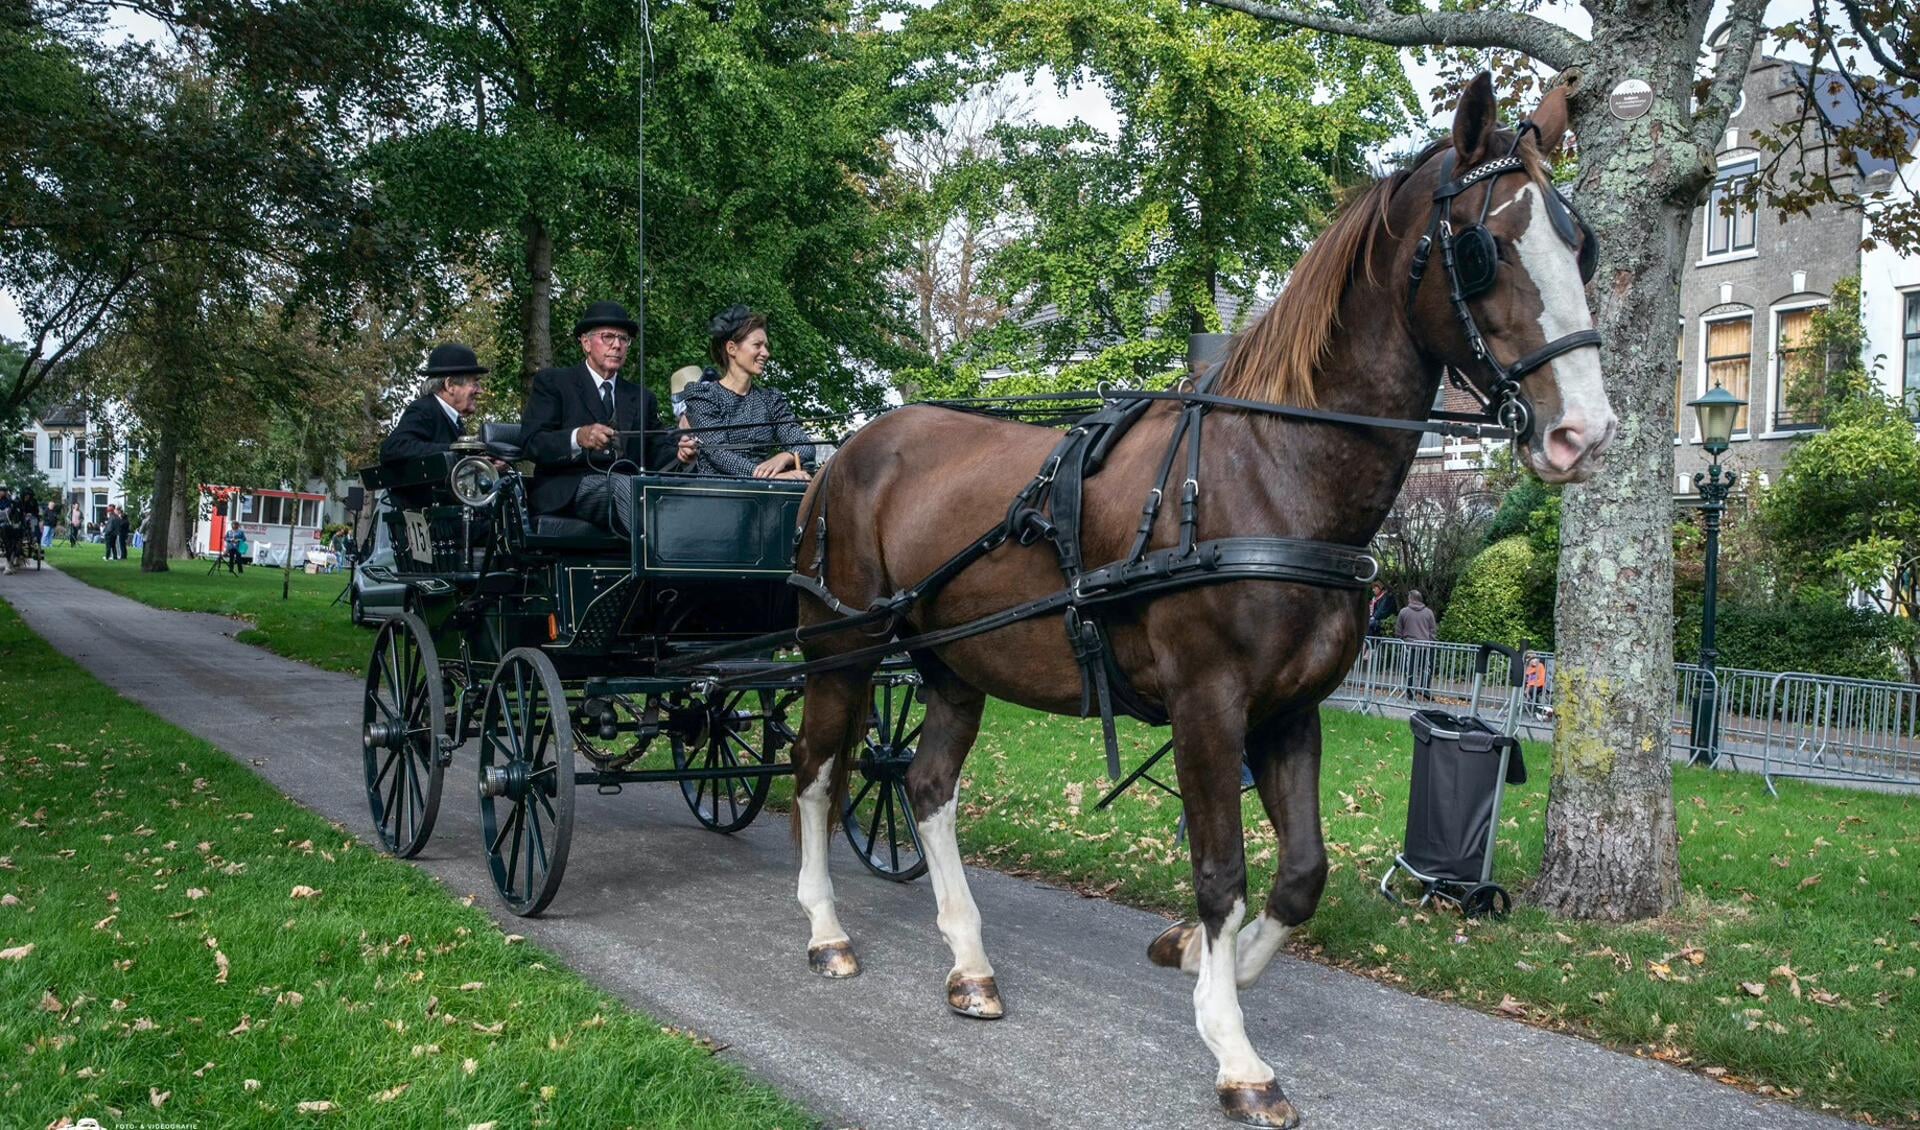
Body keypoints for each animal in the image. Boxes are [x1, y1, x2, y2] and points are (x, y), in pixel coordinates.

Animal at [787, 74, 1612, 1120]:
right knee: (817, 775)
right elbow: (1222, 869)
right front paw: (1235, 1051)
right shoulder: (1206, 703)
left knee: (927, 789)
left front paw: (1194, 956)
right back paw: (825, 932)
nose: (1584, 432)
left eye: (1581, 245)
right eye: (1483, 248)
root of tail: (846, 451)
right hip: (841, 651)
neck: (1267, 470)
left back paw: (969, 962)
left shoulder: (1291, 708)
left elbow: (1300, 875)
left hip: (954, 664)